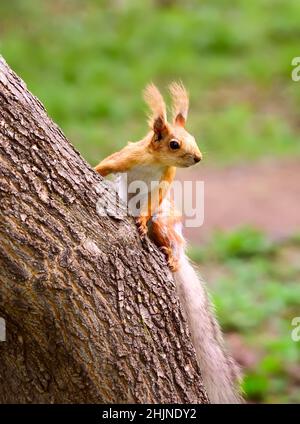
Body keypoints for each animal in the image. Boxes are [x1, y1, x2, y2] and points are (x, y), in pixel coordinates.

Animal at [95, 81, 243, 402]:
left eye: (194, 138)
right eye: (174, 144)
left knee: (169, 236)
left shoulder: (165, 180)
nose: (198, 157)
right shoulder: (127, 156)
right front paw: (97, 170)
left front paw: (140, 219)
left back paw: (171, 253)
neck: (154, 162)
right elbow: (107, 165)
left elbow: (153, 200)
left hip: (164, 222)